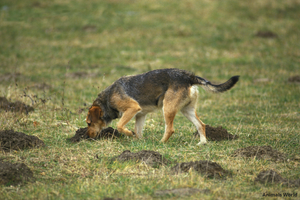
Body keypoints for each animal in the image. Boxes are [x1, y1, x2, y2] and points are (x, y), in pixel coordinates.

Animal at [86, 68, 239, 145]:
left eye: (88, 123)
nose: (87, 137)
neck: (108, 98)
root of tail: (189, 76)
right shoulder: (140, 115)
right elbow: (138, 131)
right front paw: (139, 142)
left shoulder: (132, 109)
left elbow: (120, 126)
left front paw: (129, 134)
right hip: (186, 110)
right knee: (201, 125)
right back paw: (202, 143)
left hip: (168, 108)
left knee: (170, 129)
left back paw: (161, 143)